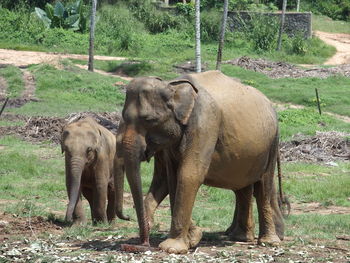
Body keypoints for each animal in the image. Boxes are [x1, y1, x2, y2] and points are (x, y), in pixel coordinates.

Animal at [120, 71, 284, 255]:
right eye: (123, 116)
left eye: (149, 119)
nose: (143, 243)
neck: (172, 86)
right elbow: (172, 178)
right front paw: (193, 238)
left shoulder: (205, 123)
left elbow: (189, 175)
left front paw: (172, 248)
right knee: (243, 188)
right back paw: (240, 237)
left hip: (272, 143)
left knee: (264, 186)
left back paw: (269, 243)